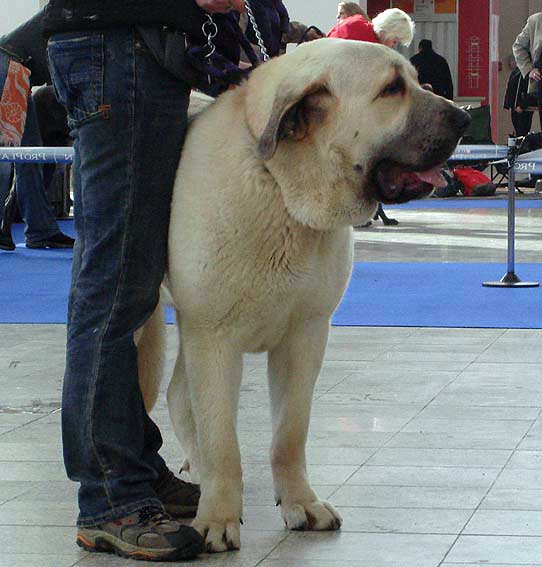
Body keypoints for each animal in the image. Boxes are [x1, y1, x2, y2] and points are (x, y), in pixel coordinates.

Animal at [139, 40, 472, 556]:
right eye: (392, 89)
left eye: (417, 81)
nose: (464, 118)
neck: (282, 189)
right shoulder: (213, 337)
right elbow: (222, 439)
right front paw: (217, 518)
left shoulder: (305, 336)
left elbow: (289, 434)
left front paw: (300, 504)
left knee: (179, 397)